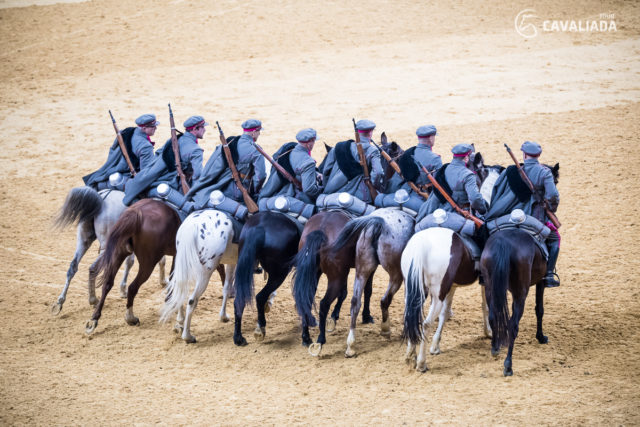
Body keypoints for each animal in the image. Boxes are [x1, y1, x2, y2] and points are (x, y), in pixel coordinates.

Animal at [84, 199, 181, 336]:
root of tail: (137, 213)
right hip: (148, 263)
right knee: (132, 287)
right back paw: (131, 318)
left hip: (119, 254)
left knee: (107, 284)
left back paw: (94, 319)